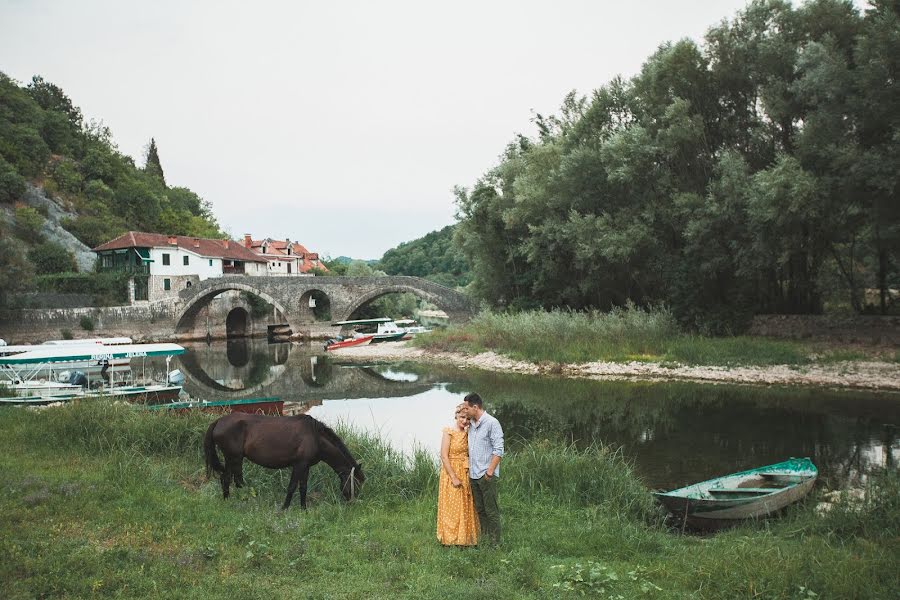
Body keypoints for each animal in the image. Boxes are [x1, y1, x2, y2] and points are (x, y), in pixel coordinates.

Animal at [204, 412, 366, 510]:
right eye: (356, 483)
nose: (352, 502)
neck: (315, 437)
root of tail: (218, 421)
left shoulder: (306, 466)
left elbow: (303, 487)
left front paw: (303, 509)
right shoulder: (299, 465)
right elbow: (292, 487)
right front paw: (284, 508)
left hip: (234, 459)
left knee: (230, 480)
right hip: (233, 458)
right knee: (229, 479)